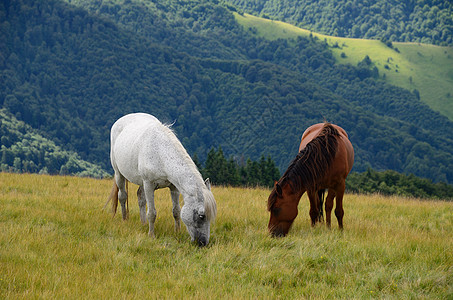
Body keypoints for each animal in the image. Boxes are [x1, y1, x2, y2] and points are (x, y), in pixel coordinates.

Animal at [107, 112, 217, 246]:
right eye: (202, 216)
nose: (203, 243)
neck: (160, 153)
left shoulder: (174, 187)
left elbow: (176, 211)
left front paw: (177, 232)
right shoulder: (149, 185)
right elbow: (152, 213)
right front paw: (151, 235)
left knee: (140, 197)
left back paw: (143, 224)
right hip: (119, 174)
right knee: (122, 196)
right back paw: (125, 220)